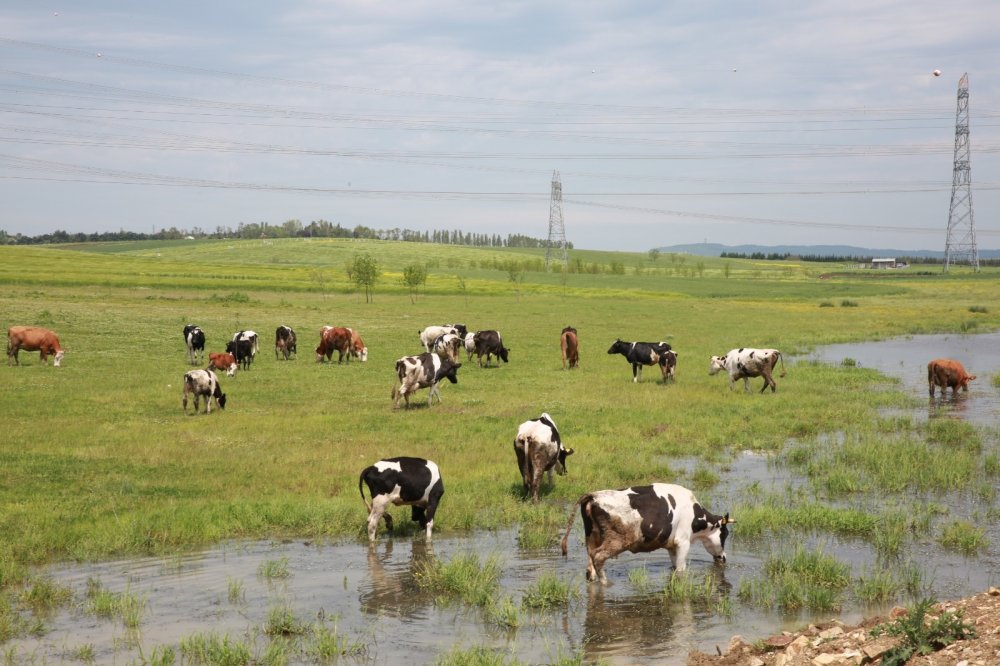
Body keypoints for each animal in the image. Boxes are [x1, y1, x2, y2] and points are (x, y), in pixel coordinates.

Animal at [561, 483, 733, 584]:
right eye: (725, 534)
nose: (724, 558)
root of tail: (594, 495)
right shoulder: (683, 542)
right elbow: (681, 570)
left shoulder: (672, 546)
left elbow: (674, 567)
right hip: (617, 541)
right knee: (598, 558)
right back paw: (606, 583)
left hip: (592, 537)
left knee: (590, 565)